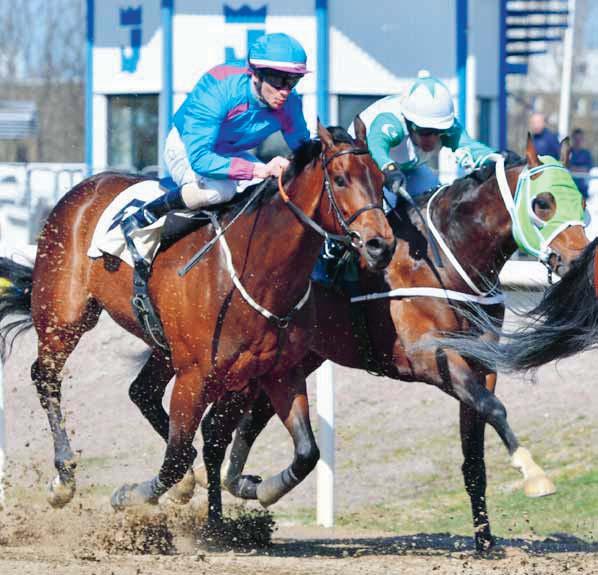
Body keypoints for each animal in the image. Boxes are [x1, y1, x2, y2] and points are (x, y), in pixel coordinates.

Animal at [0, 121, 398, 528]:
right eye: (340, 179)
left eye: (382, 179)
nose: (381, 245)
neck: (256, 273)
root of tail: (83, 189)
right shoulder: (194, 377)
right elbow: (176, 458)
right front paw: (129, 495)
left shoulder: (278, 372)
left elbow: (305, 452)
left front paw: (257, 490)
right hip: (64, 315)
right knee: (45, 376)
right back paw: (63, 479)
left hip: (162, 346)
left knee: (142, 392)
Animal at [193, 133, 592, 552]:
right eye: (542, 202)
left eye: (581, 203)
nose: (578, 261)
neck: (443, 258)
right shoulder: (431, 357)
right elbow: (494, 408)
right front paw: (533, 474)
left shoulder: (481, 366)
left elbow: (475, 452)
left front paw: (484, 540)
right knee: (215, 433)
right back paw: (213, 523)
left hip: (294, 360)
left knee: (241, 426)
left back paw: (242, 484)